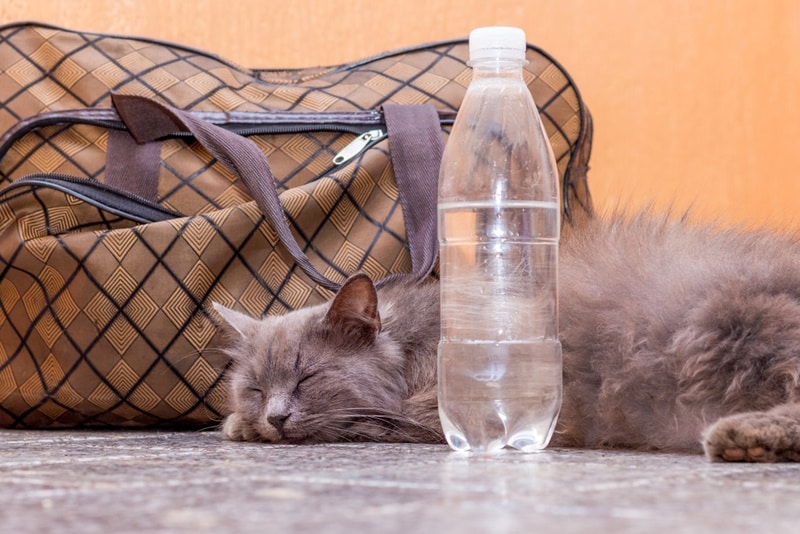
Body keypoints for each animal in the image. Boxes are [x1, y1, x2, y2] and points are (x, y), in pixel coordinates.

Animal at [212, 211, 800, 462]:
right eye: (257, 388)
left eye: (308, 378)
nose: (274, 416)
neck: (419, 345)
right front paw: (245, 423)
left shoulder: (436, 415)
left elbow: (359, 424)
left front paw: (238, 427)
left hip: (739, 322)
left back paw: (741, 437)